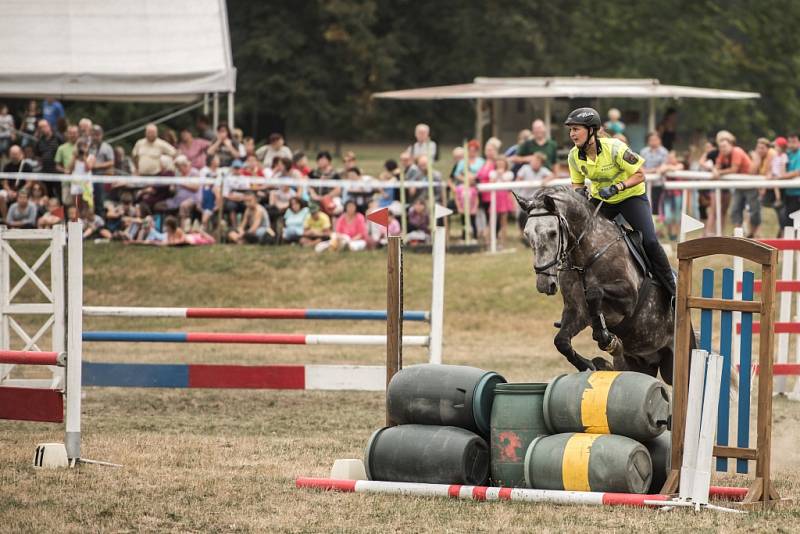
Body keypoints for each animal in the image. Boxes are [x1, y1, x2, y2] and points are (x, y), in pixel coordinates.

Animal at [520, 186, 676, 384]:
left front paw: (605, 337)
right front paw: (591, 364)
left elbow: (594, 292)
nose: (544, 284)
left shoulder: (629, 299)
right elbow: (561, 341)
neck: (585, 258)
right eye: (527, 234)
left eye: (553, 233)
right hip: (637, 364)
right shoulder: (576, 311)